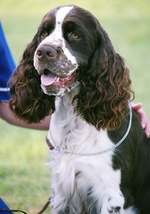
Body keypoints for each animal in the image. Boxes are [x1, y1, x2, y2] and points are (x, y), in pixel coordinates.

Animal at [9, 5, 150, 214]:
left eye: (75, 35)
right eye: (44, 33)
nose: (44, 51)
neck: (73, 116)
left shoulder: (111, 194)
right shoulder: (61, 192)